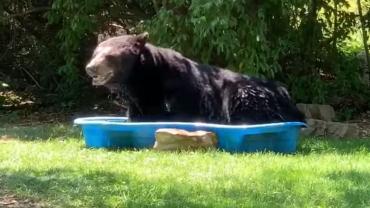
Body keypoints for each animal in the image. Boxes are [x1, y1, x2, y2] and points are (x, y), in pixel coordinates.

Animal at [85, 32, 304, 123]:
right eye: (95, 53)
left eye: (109, 56)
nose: (90, 68)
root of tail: (287, 94)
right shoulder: (137, 97)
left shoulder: (181, 89)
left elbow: (173, 110)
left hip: (247, 90)